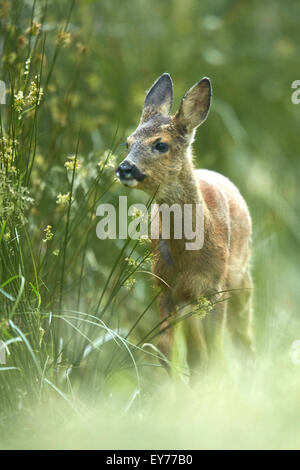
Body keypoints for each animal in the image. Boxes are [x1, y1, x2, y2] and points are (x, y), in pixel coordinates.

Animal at [116, 73, 254, 374]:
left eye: (161, 144)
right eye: (128, 143)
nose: (124, 168)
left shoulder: (215, 287)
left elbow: (216, 351)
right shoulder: (164, 286)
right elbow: (166, 347)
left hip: (240, 274)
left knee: (243, 330)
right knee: (196, 347)